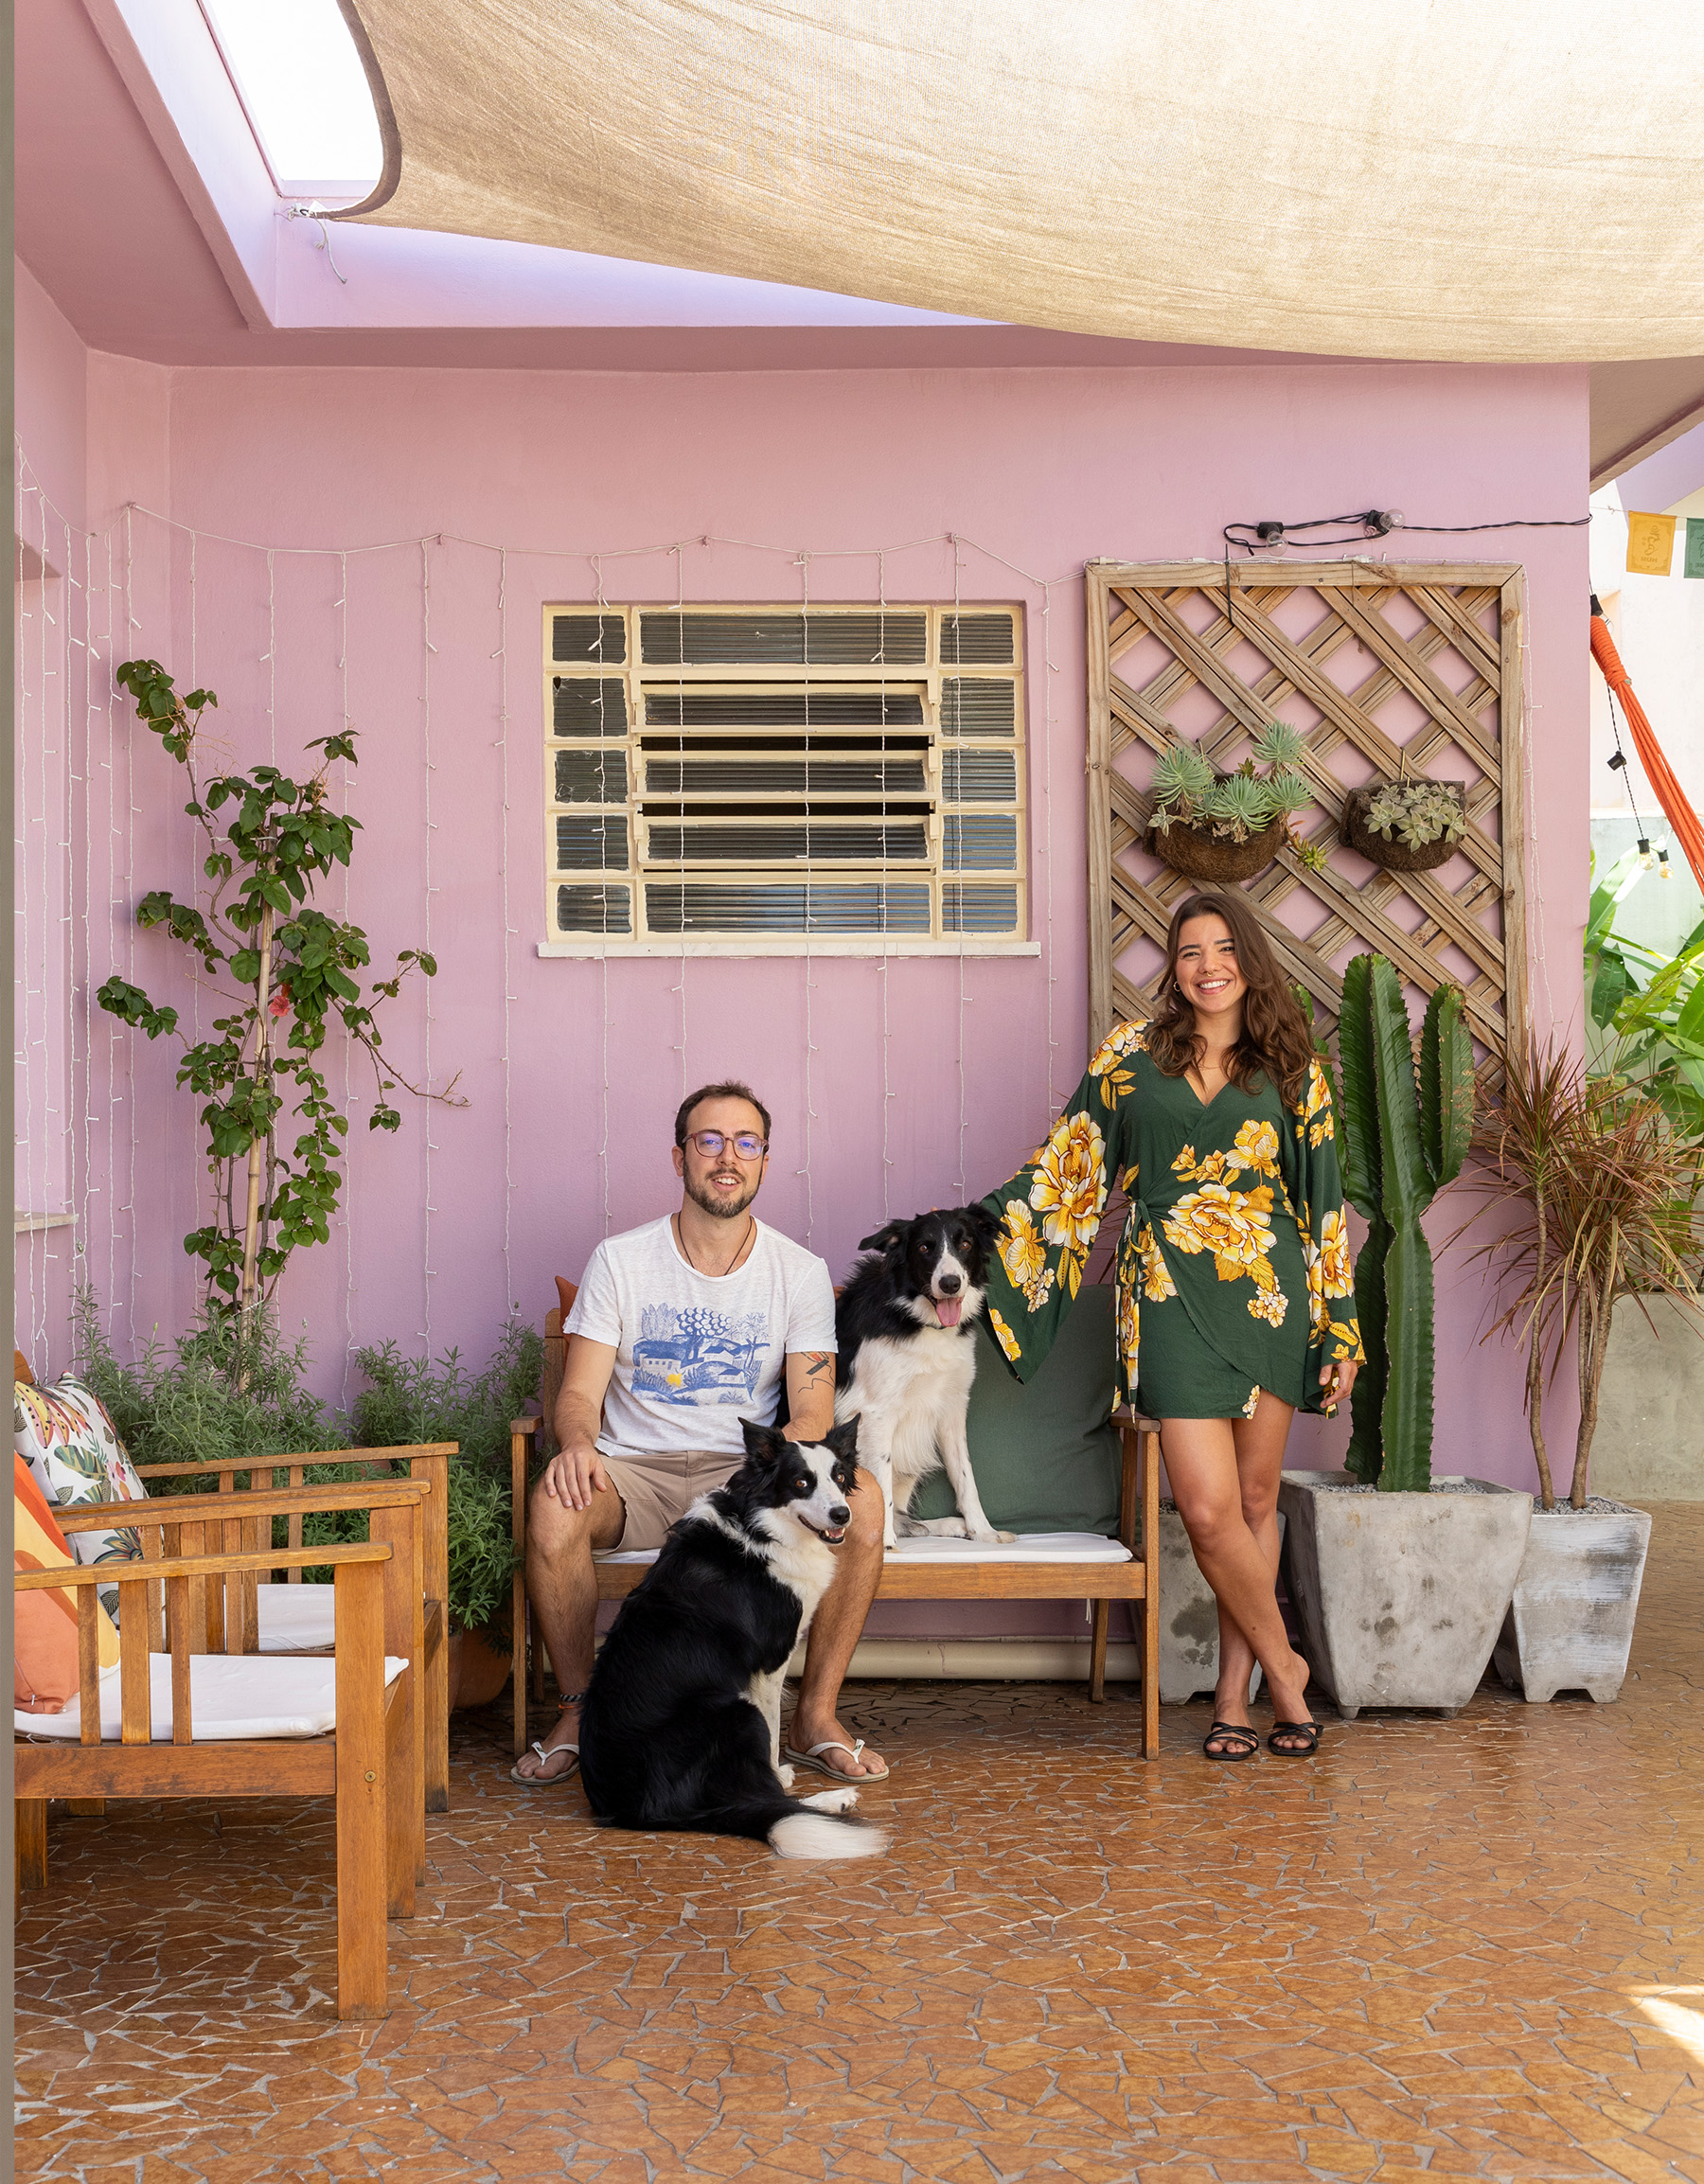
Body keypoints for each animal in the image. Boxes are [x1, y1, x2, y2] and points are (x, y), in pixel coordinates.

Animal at [577, 1414, 886, 1860]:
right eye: (800, 1483)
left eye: (839, 1477)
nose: (842, 1515)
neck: (761, 1528)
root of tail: (637, 1810)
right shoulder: (770, 1665)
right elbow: (773, 1738)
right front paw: (782, 1771)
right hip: (739, 1711)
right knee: (766, 1798)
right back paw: (832, 1800)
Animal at [834, 1214, 1013, 1554]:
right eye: (924, 1248)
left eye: (965, 1244)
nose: (950, 1284)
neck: (919, 1321)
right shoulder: (875, 1413)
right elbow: (882, 1487)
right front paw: (885, 1546)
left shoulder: (953, 1409)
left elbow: (965, 1476)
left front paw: (983, 1532)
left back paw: (951, 1525)